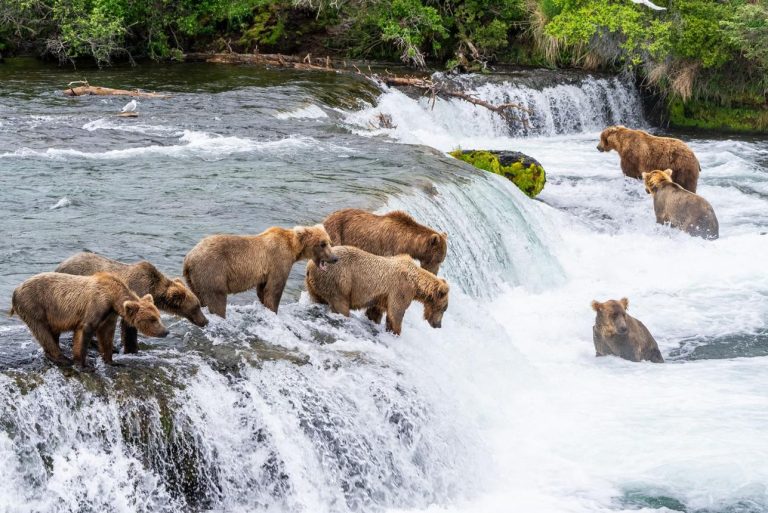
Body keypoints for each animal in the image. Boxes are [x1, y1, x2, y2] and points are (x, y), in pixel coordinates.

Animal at [10, 272, 168, 368]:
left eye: (158, 316)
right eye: (152, 319)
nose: (165, 331)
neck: (113, 297)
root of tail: (16, 290)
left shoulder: (109, 315)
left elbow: (106, 335)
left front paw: (112, 361)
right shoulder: (96, 305)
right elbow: (84, 331)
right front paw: (84, 365)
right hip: (34, 304)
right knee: (42, 331)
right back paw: (61, 358)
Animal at [55, 252, 208, 354]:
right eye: (196, 307)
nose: (205, 321)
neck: (154, 289)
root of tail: (60, 265)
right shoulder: (135, 294)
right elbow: (129, 326)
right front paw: (132, 348)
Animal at [183, 224, 338, 318]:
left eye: (329, 242)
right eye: (322, 244)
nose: (335, 258)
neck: (293, 249)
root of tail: (188, 258)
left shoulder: (265, 272)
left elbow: (263, 290)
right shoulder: (278, 261)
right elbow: (274, 289)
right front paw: (274, 310)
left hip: (194, 280)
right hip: (212, 270)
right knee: (217, 299)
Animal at [305, 245, 449, 335]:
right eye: (444, 308)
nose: (438, 325)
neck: (416, 283)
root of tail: (310, 266)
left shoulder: (382, 296)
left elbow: (375, 312)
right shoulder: (401, 289)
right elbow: (396, 313)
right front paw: (395, 332)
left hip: (316, 286)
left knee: (318, 298)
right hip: (339, 281)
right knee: (341, 305)